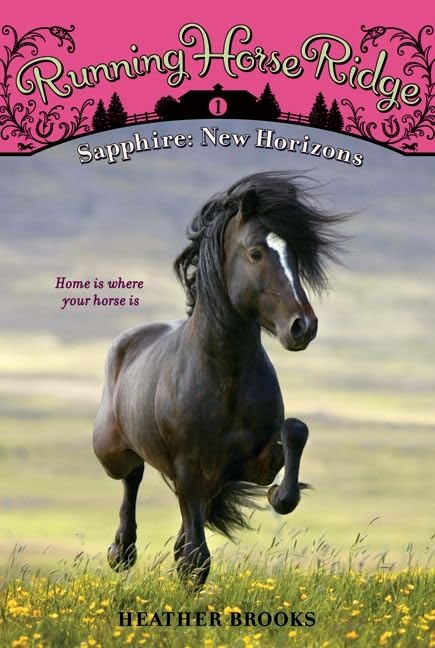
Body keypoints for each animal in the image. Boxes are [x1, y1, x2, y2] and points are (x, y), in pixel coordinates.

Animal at [93, 171, 346, 587]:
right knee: (133, 476)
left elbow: (295, 430)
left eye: (294, 255)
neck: (224, 377)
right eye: (255, 253)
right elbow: (196, 558)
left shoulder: (249, 466)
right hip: (112, 453)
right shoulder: (190, 470)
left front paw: (279, 496)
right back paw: (121, 552)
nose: (303, 326)